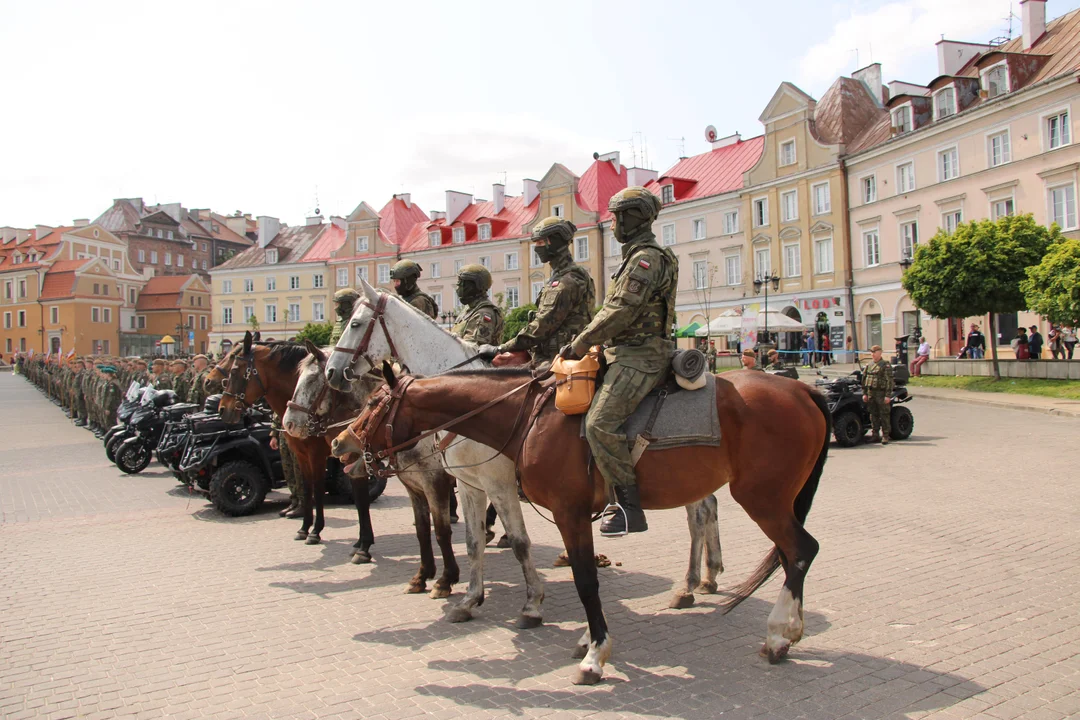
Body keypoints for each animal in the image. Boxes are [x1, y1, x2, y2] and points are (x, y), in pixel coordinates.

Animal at [324, 278, 721, 617]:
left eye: (356, 323)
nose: (332, 371)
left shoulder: (495, 484)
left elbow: (516, 540)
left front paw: (528, 601)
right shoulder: (467, 484)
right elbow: (469, 540)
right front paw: (469, 596)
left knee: (698, 515)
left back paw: (689, 584)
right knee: (706, 510)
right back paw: (707, 576)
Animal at [332, 367, 829, 686]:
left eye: (374, 403)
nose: (340, 443)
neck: (529, 418)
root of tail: (802, 390)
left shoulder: (559, 510)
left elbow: (582, 579)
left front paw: (594, 652)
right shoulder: (481, 491)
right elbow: (482, 545)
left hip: (763, 498)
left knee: (799, 551)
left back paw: (776, 632)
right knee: (768, 544)